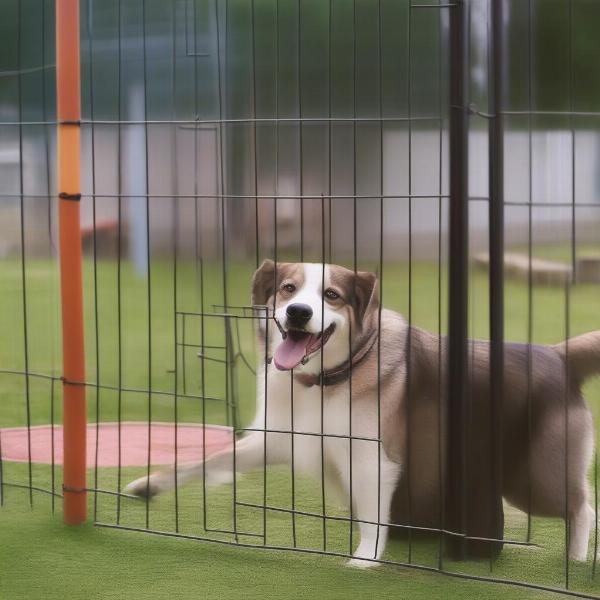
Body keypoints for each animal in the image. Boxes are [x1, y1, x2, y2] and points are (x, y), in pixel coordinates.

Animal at [125, 262, 600, 568]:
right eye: (288, 289)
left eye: (331, 296)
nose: (298, 312)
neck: (326, 381)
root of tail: (558, 355)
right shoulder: (277, 439)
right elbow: (206, 462)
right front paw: (149, 485)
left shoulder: (375, 460)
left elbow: (373, 516)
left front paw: (365, 561)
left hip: (533, 478)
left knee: (583, 504)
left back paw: (577, 561)